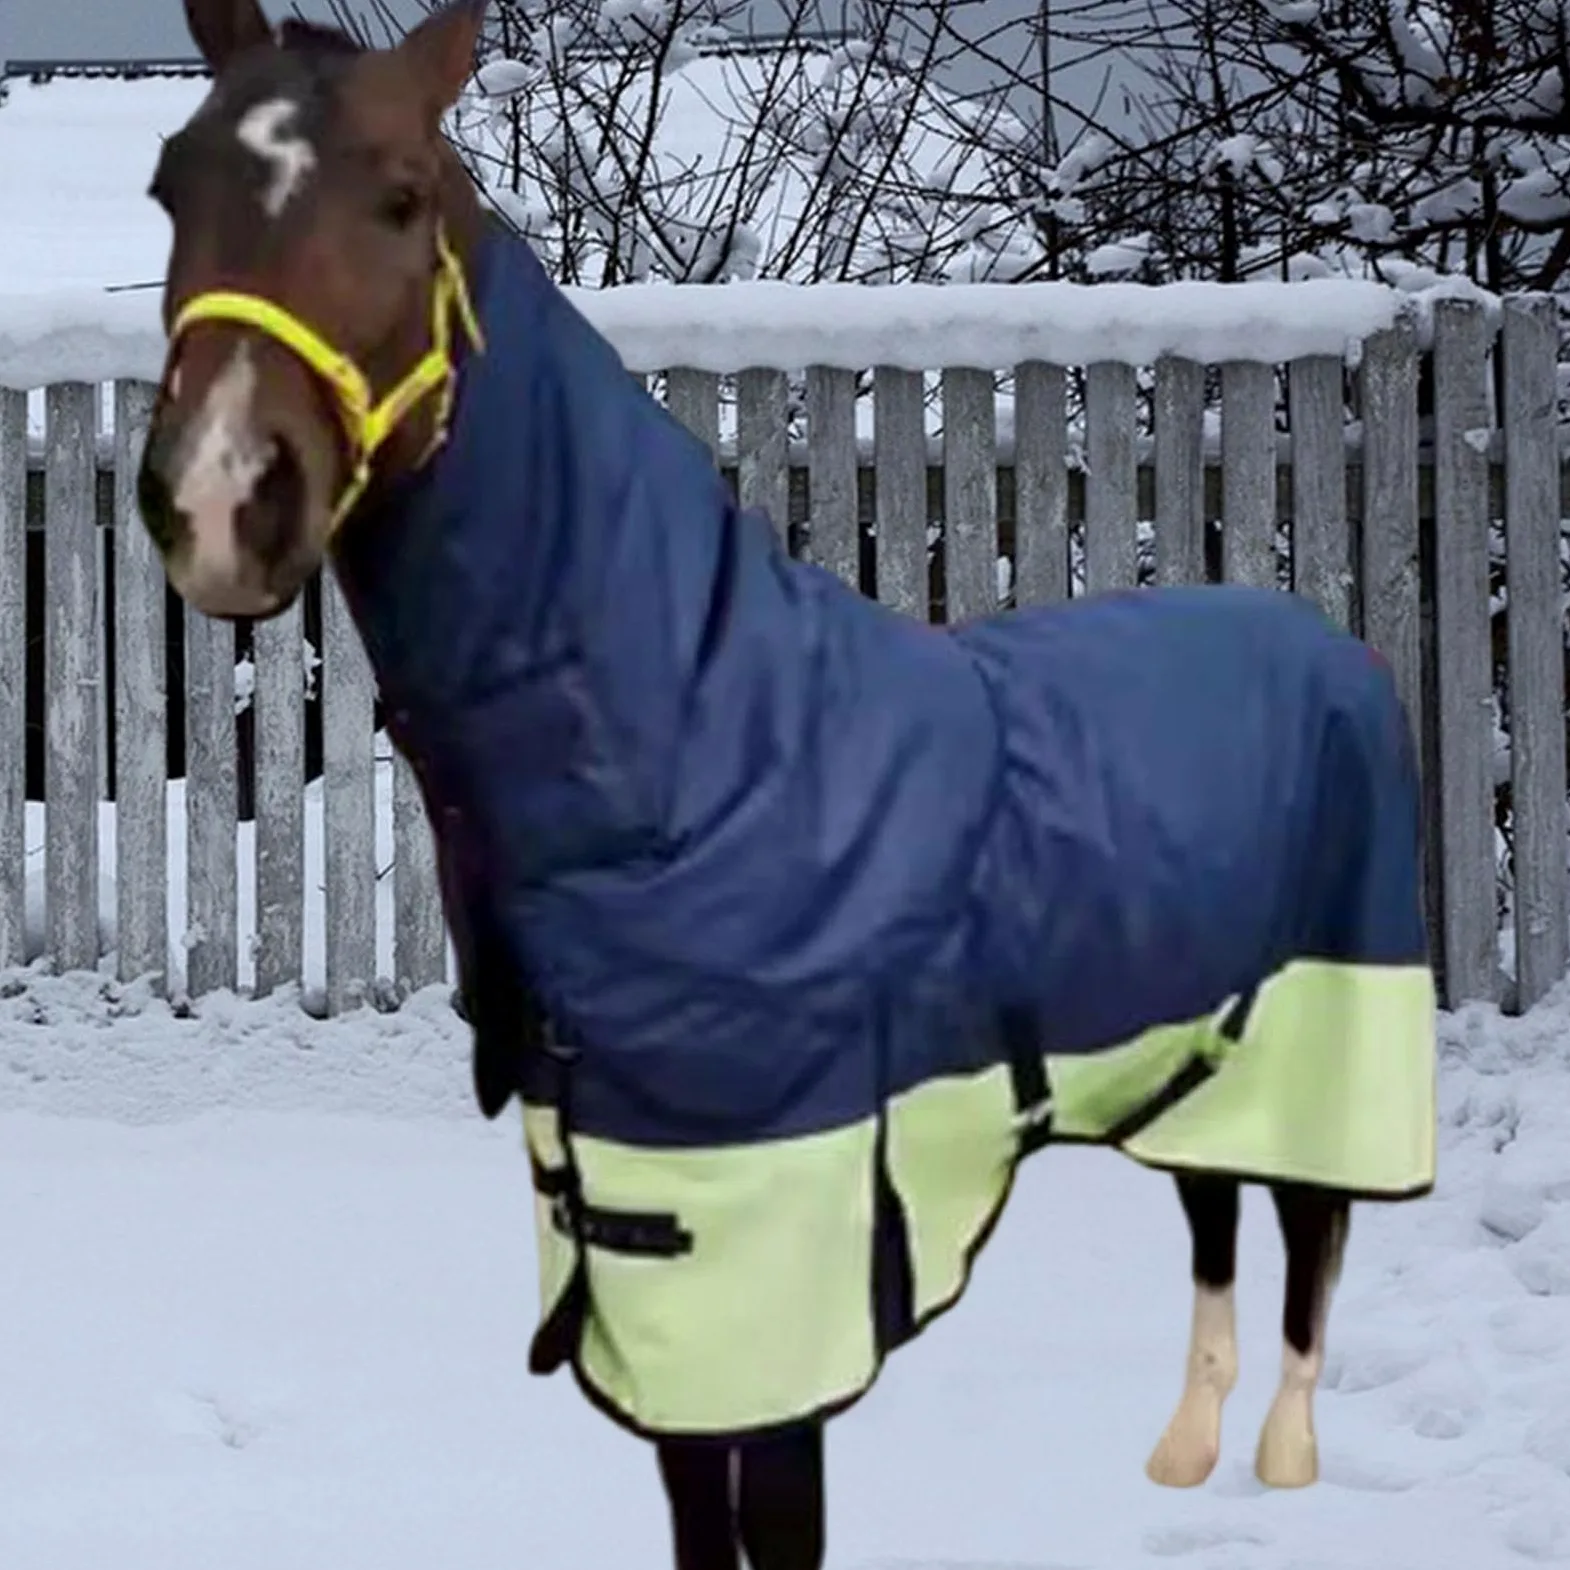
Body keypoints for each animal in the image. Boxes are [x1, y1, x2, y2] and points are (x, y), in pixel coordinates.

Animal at [135, 3, 1437, 1566]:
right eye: (170, 186)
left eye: (395, 197)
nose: (218, 500)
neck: (699, 751)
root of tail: (1332, 645)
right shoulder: (642, 1249)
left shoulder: (782, 1261)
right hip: (1198, 1055)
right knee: (1215, 1222)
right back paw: (1183, 1455)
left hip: (1325, 1036)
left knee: (1308, 1235)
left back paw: (1287, 1460)